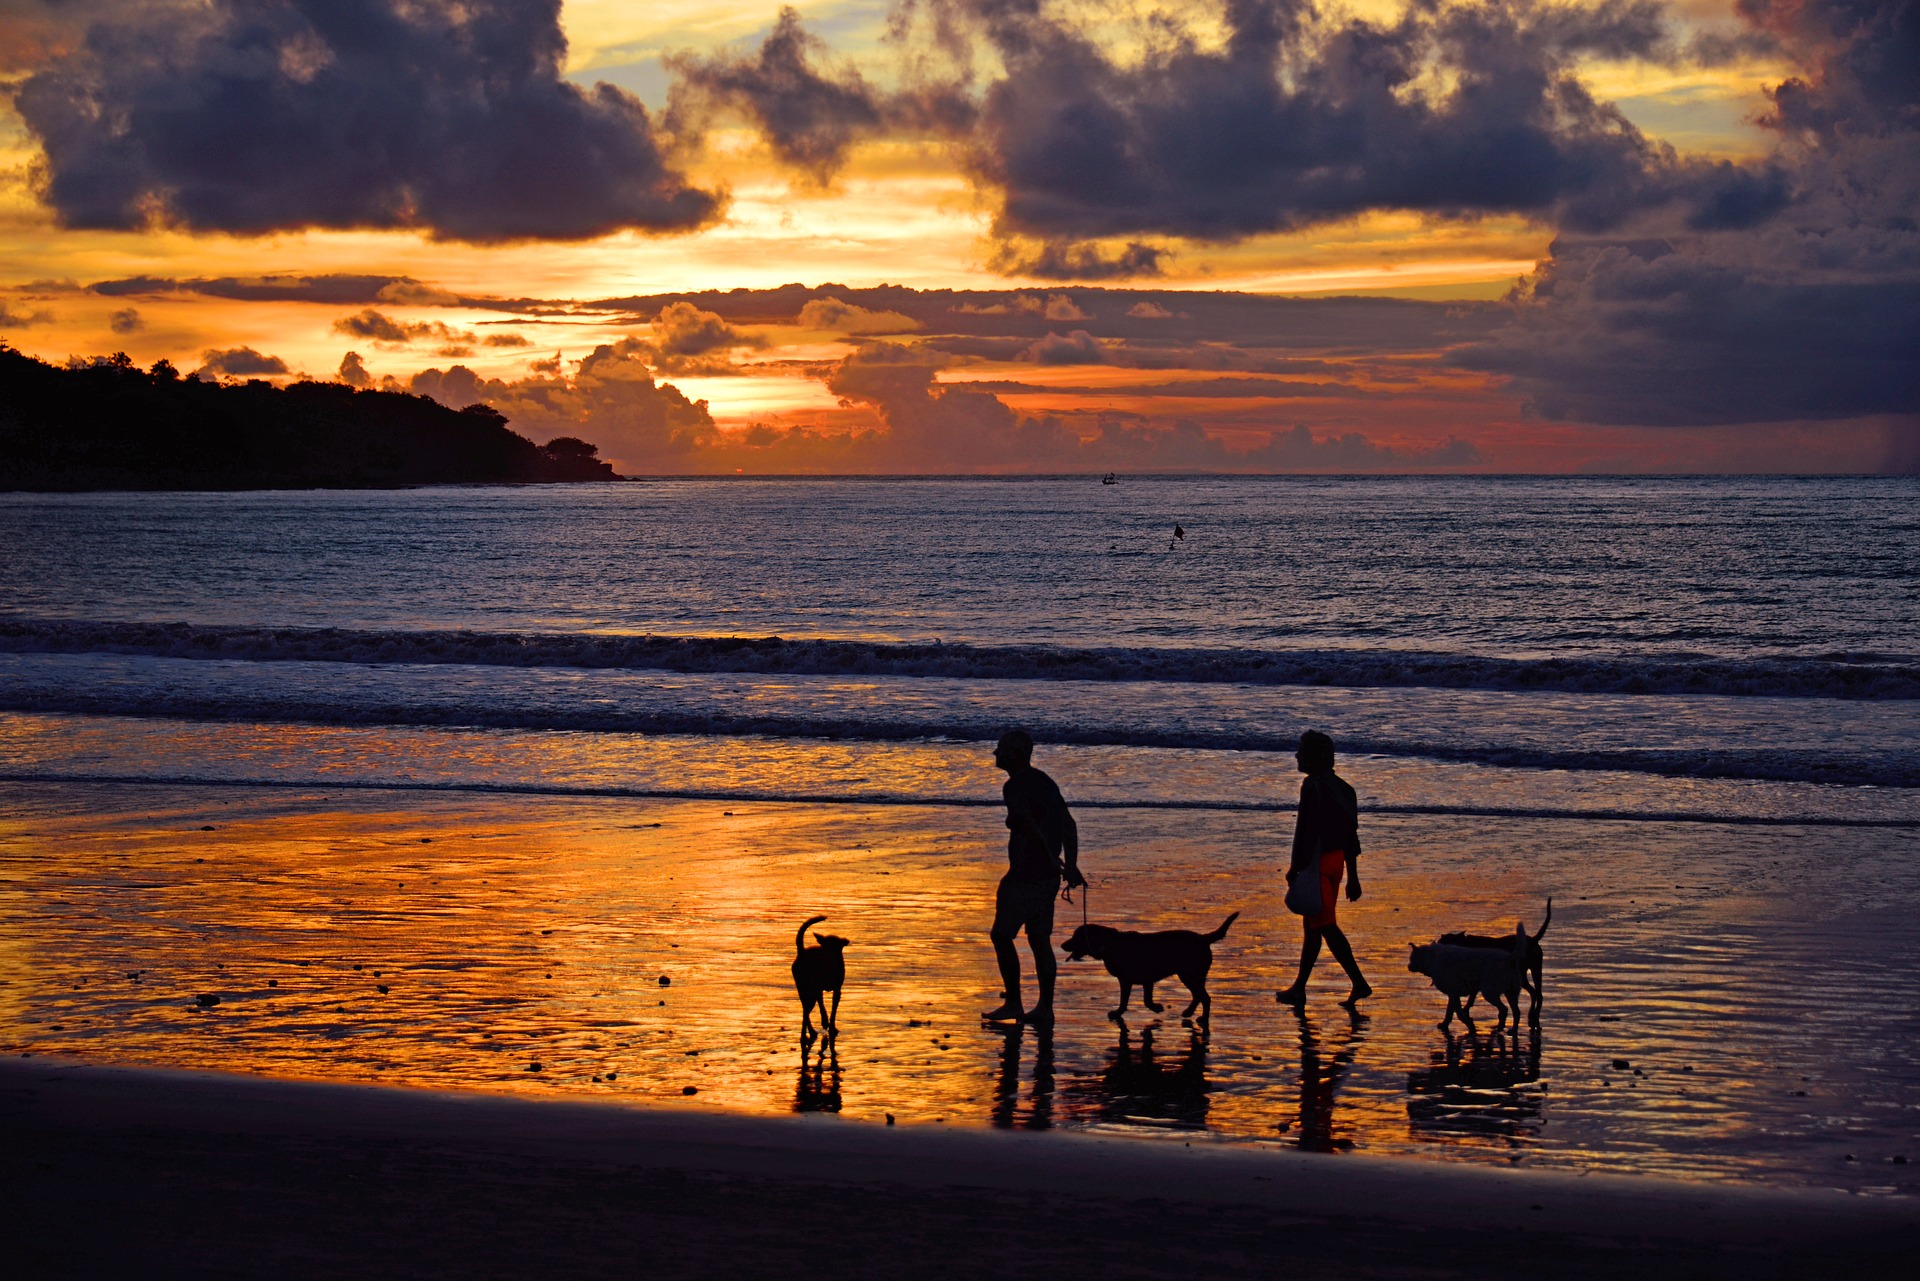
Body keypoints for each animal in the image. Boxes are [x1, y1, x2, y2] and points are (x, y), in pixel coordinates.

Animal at [787, 910, 848, 1044]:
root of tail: (802, 952)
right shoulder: (821, 989)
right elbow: (825, 1008)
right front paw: (827, 1023)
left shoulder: (836, 990)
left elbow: (832, 1009)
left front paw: (830, 1025)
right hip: (808, 990)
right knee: (806, 1011)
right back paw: (808, 1034)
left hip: (803, 989)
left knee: (805, 1011)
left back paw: (809, 1033)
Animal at [1059, 910, 1236, 1021]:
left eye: (1075, 937)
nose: (1061, 945)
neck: (1109, 944)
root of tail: (1203, 938)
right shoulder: (1146, 980)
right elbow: (1145, 1000)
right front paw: (1155, 1008)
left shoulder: (1127, 980)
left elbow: (1126, 1000)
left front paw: (1118, 1013)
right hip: (1190, 976)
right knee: (1198, 996)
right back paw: (1189, 1012)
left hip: (1189, 975)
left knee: (1204, 997)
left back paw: (1203, 1018)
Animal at [1436, 898, 1551, 1029]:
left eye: (1441, 942)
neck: (1464, 944)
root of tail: (1533, 940)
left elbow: (1469, 998)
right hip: (1533, 971)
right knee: (1536, 993)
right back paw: (1533, 1016)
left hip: (1525, 973)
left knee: (1535, 993)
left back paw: (1533, 1016)